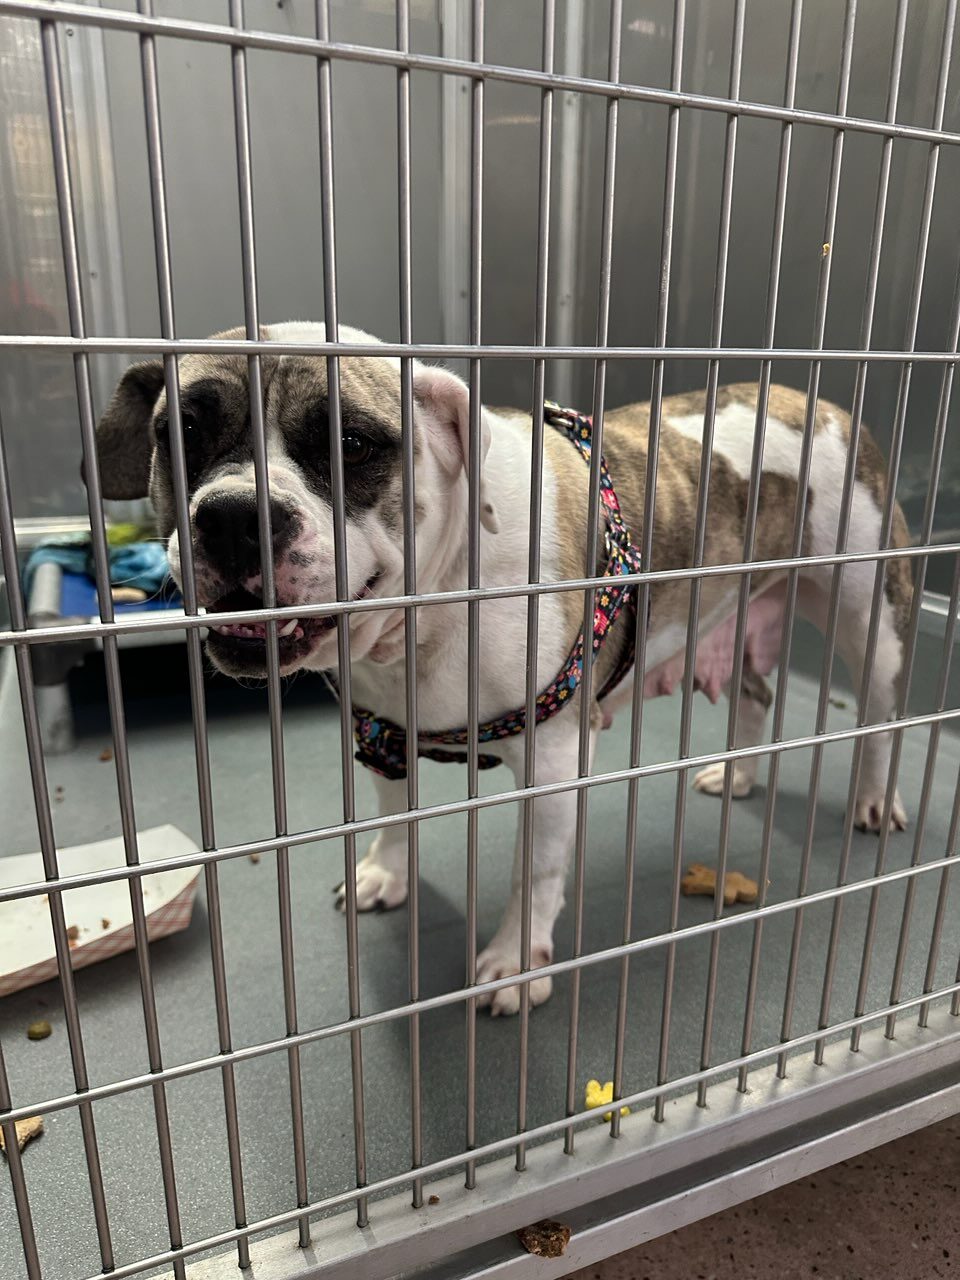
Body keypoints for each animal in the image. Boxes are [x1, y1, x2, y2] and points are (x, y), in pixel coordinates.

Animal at [93, 322, 913, 1015]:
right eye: (180, 432)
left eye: (352, 443)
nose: (234, 515)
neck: (431, 610)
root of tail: (819, 401)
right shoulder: (381, 733)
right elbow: (393, 814)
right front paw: (387, 872)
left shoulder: (551, 767)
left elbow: (535, 873)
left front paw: (516, 963)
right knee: (756, 692)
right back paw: (738, 773)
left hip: (871, 617)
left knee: (882, 716)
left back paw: (875, 799)